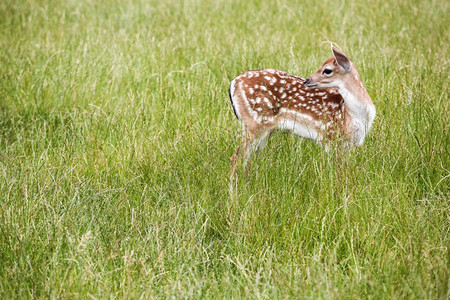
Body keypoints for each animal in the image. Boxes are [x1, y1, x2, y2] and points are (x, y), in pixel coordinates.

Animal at [229, 47, 376, 178]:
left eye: (327, 70)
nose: (307, 80)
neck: (353, 114)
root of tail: (233, 83)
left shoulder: (350, 144)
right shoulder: (330, 136)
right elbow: (338, 170)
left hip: (264, 130)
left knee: (248, 161)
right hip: (254, 122)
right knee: (236, 157)